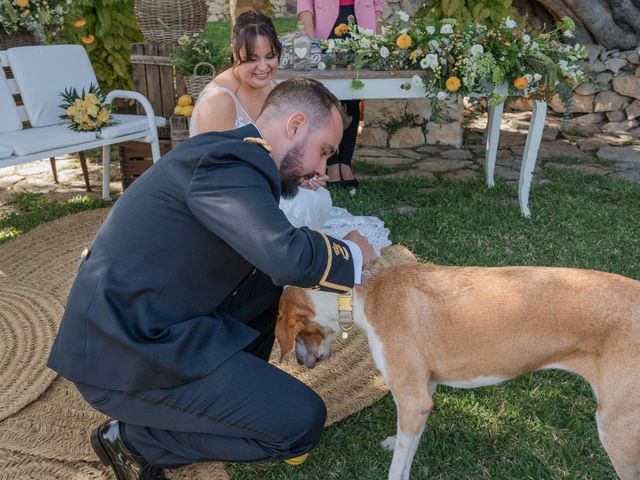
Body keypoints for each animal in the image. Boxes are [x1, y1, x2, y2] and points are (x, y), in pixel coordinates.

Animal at [278, 262, 640, 480]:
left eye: (296, 333)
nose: (301, 363)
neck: (368, 291)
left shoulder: (412, 400)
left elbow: (398, 467)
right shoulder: (423, 392)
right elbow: (408, 442)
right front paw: (397, 442)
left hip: (617, 431)